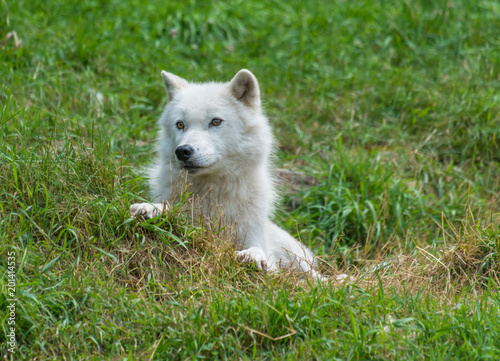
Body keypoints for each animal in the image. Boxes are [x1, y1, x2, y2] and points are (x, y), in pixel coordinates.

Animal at [129, 69, 324, 278]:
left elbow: (260, 252)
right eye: (180, 124)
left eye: (216, 121)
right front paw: (150, 209)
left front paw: (253, 256)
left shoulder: (257, 240)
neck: (214, 193)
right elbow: (172, 209)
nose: (183, 151)